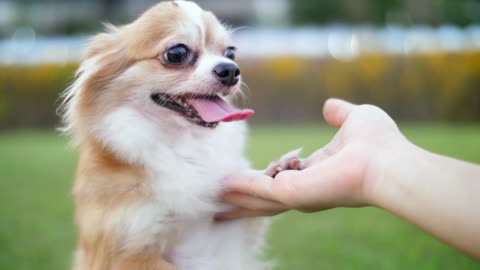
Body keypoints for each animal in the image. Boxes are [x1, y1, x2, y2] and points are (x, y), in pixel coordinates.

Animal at [60, 1, 300, 268]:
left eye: (230, 53)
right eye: (177, 53)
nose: (231, 70)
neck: (180, 141)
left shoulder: (228, 237)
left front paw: (276, 169)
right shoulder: (127, 253)